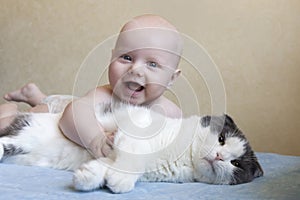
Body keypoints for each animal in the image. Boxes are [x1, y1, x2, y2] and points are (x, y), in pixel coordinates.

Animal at [0, 102, 262, 193]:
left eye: (236, 163)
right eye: (221, 139)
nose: (219, 155)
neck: (184, 158)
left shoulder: (115, 156)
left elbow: (105, 166)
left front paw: (87, 177)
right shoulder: (133, 131)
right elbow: (133, 159)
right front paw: (119, 182)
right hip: (27, 132)